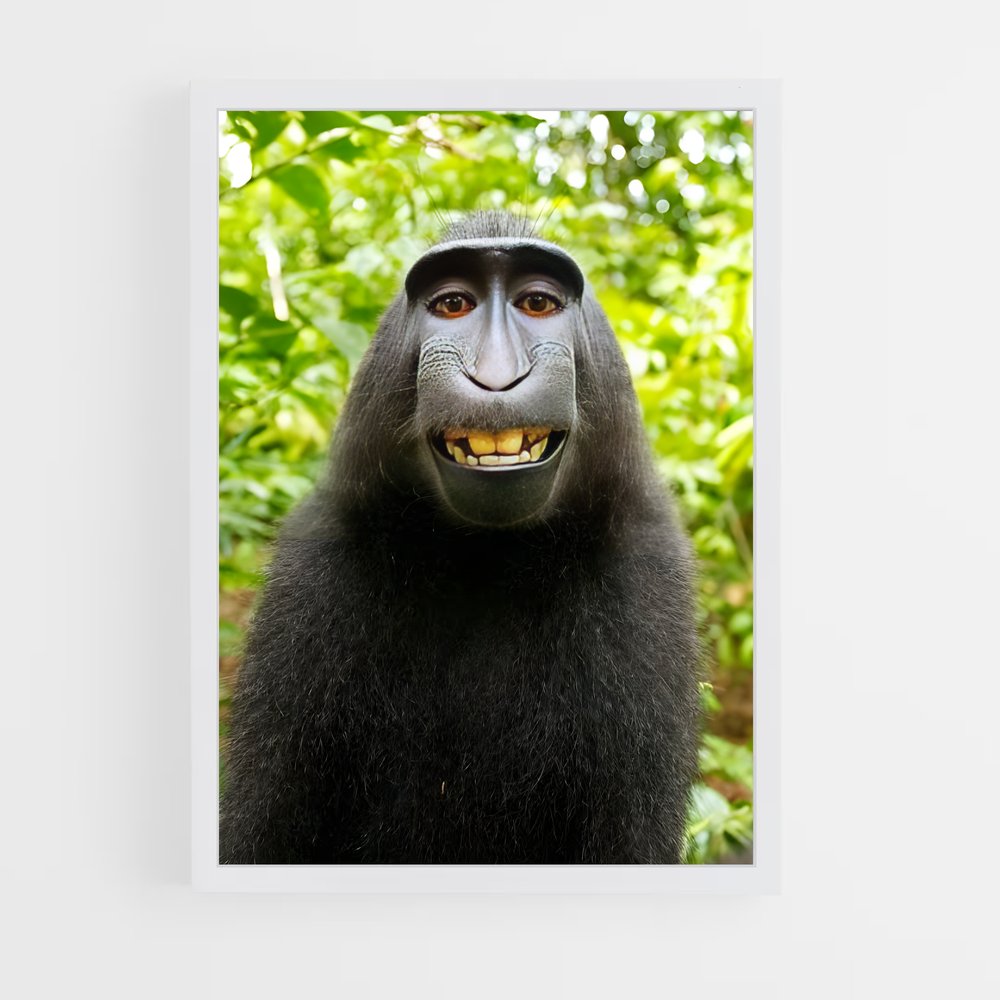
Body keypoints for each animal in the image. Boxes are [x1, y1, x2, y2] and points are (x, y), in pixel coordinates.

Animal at [219, 211, 702, 864]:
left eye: (537, 303)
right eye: (453, 305)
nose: (496, 377)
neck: (487, 557)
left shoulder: (647, 579)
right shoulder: (314, 566)